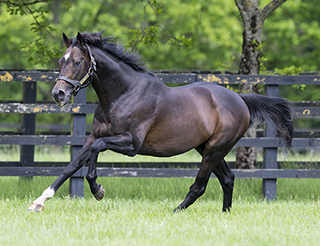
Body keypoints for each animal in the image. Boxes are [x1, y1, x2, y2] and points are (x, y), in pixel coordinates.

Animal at [27, 30, 292, 212]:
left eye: (77, 62)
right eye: (61, 61)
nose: (58, 94)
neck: (123, 94)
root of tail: (240, 100)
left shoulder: (131, 144)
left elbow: (96, 151)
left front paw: (98, 190)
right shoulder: (94, 136)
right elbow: (71, 166)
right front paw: (38, 202)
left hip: (215, 149)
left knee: (200, 185)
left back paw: (175, 212)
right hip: (207, 148)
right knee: (228, 178)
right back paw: (225, 214)